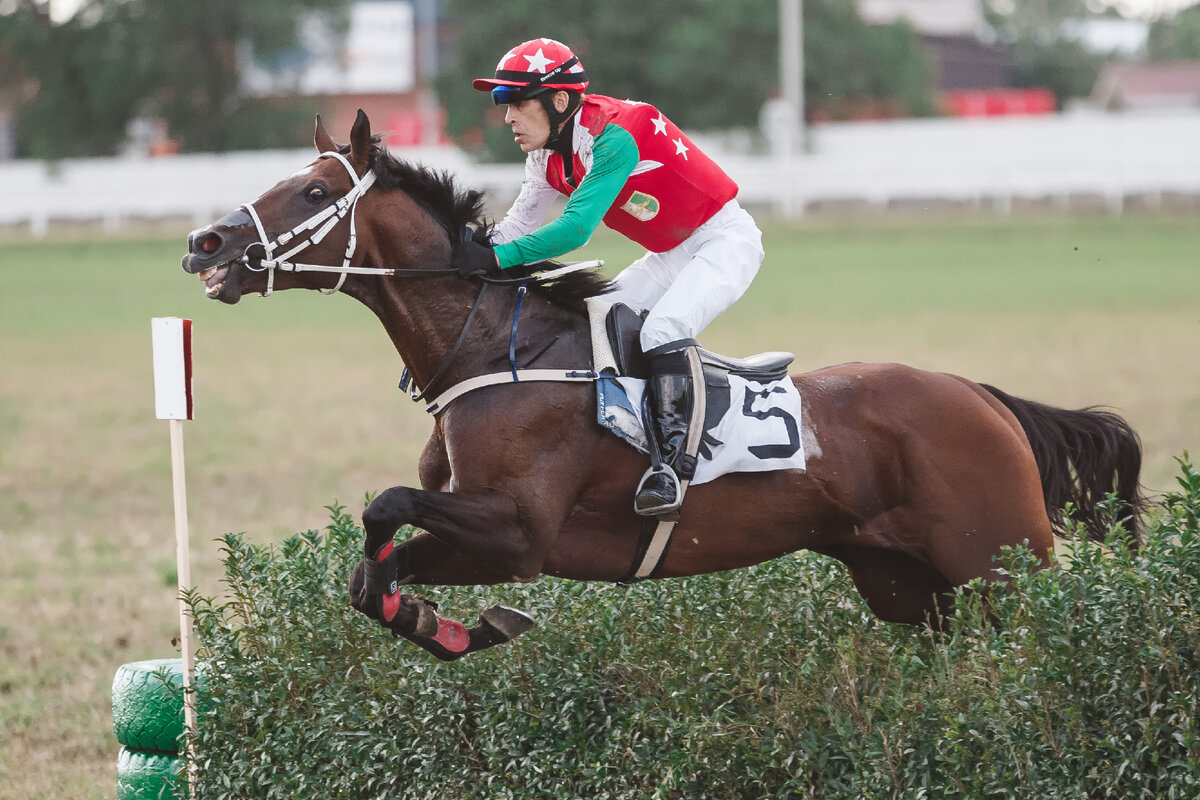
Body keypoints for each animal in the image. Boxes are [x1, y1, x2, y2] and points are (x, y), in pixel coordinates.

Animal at [180, 112, 1142, 662]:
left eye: (312, 190)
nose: (204, 244)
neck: (492, 350)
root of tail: (983, 398)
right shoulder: (484, 537)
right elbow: (370, 569)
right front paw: (443, 626)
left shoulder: (519, 533)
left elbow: (384, 506)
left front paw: (453, 623)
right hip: (912, 587)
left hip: (1001, 569)